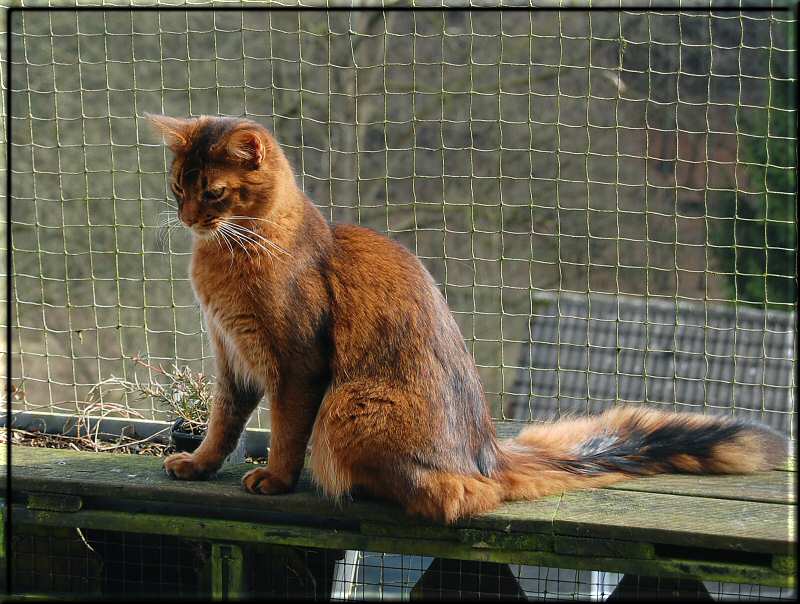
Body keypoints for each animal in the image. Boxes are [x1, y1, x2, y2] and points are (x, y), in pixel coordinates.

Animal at [148, 114, 788, 524]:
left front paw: (276, 481)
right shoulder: (231, 356)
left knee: (452, 498)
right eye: (178, 186)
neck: (233, 252)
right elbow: (222, 424)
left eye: (214, 194)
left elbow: (283, 431)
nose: (186, 217)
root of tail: (488, 454)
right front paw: (200, 465)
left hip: (349, 408)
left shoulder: (297, 364)